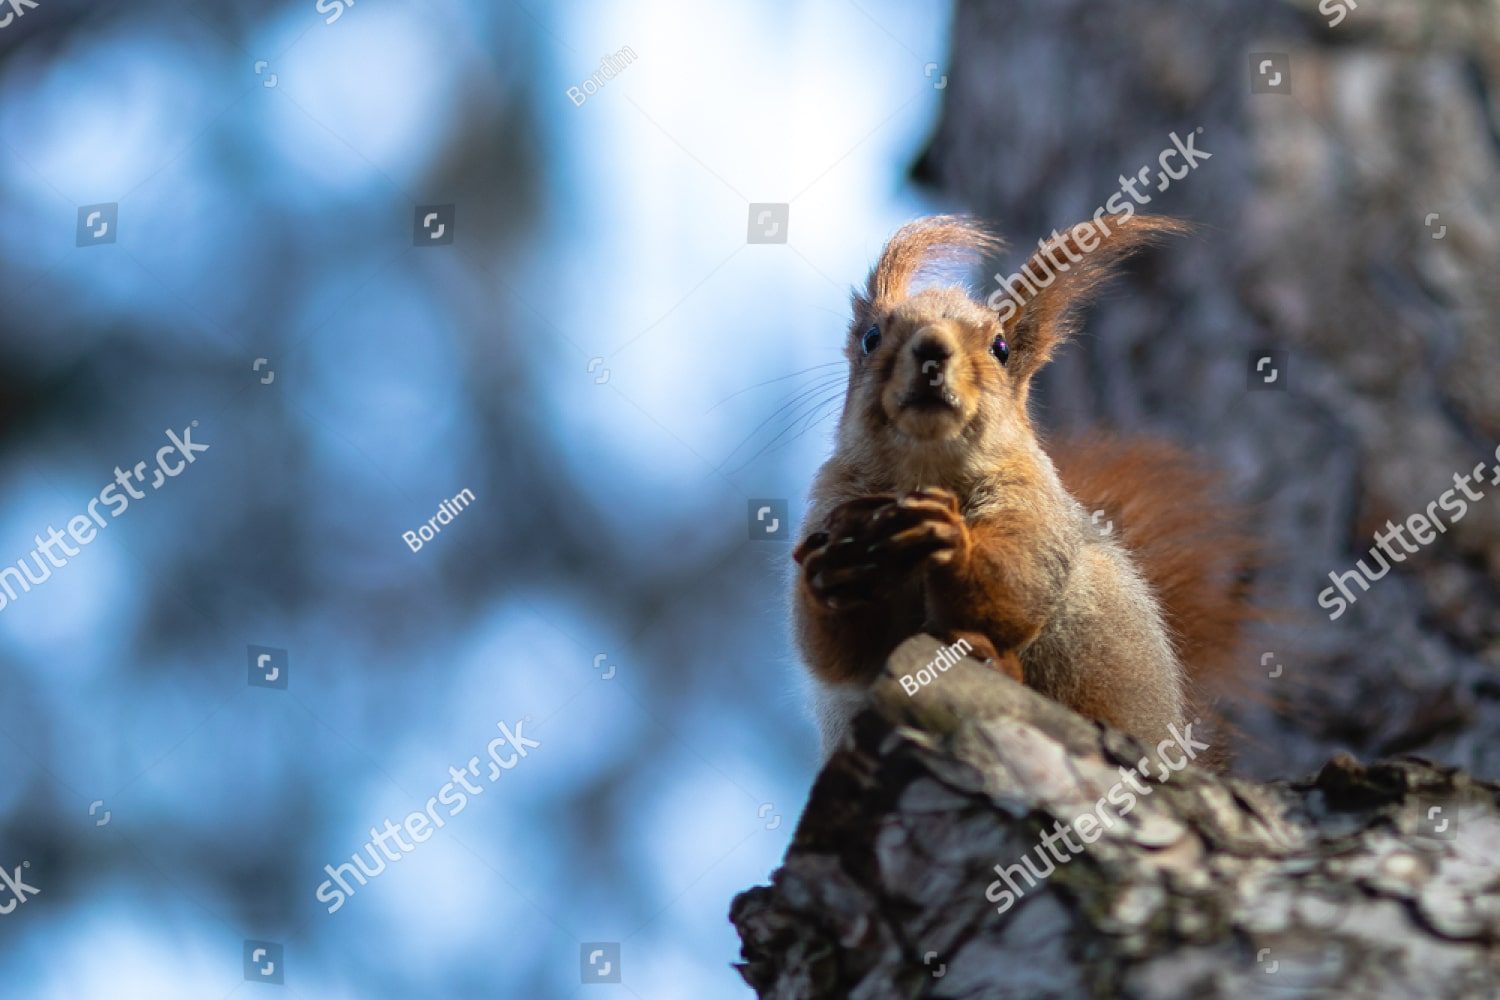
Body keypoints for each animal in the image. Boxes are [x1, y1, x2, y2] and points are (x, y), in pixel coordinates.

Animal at [792, 214, 1257, 763]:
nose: (932, 349)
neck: (925, 469)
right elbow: (840, 654)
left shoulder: (1033, 496)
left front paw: (950, 539)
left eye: (1000, 348)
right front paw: (837, 571)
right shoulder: (833, 497)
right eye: (870, 337)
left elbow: (1016, 579)